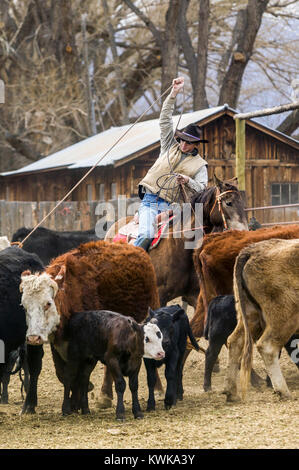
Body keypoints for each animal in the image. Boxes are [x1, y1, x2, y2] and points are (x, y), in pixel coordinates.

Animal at [19, 241, 161, 410]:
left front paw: (76, 403)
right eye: (24, 306)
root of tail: (137, 250)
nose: (33, 338)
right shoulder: (58, 344)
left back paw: (158, 389)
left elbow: (80, 375)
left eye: (48, 303)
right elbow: (63, 373)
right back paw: (105, 396)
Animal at [226, 241, 299, 402]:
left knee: (235, 341)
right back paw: (283, 391)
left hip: (249, 316)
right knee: (267, 346)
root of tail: (252, 250)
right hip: (284, 317)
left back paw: (231, 392)